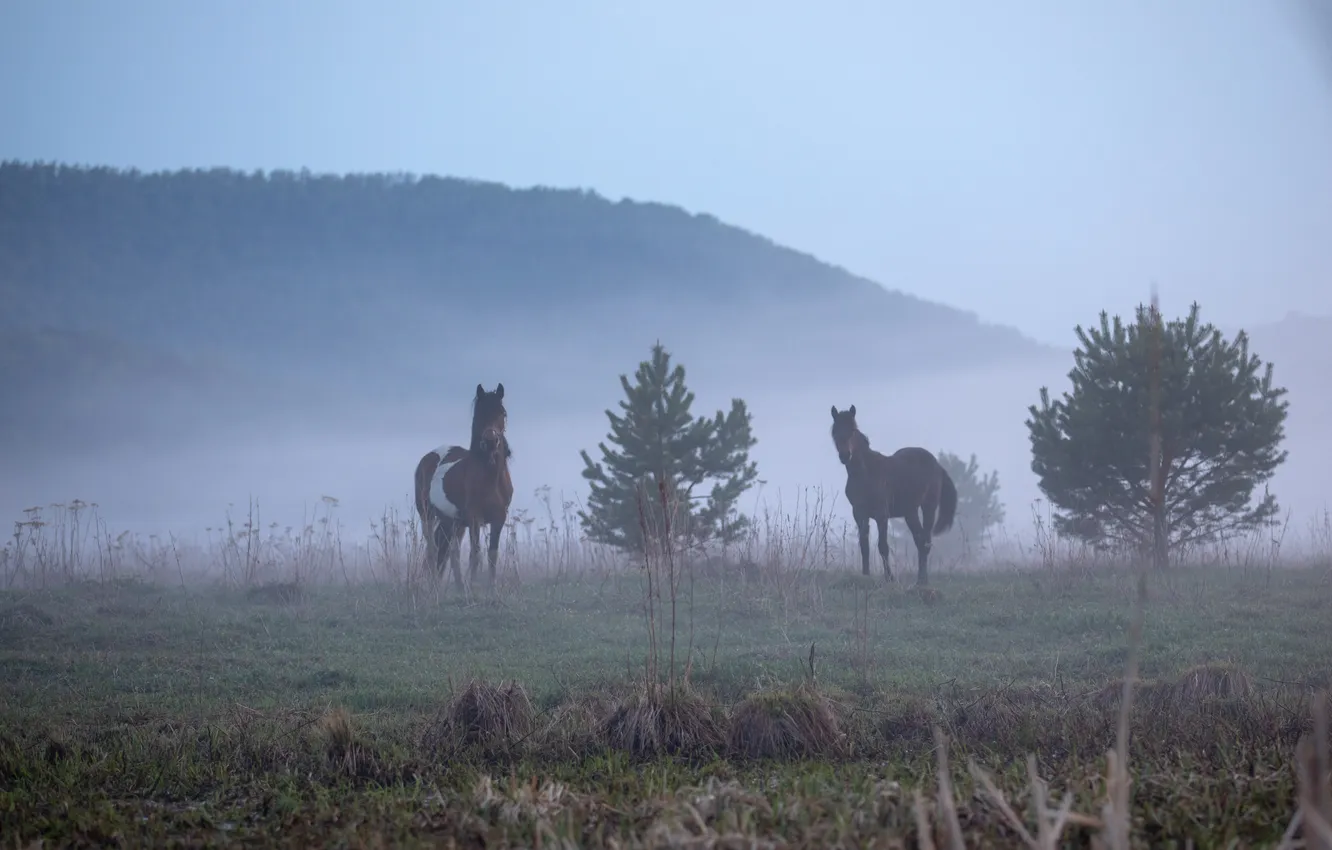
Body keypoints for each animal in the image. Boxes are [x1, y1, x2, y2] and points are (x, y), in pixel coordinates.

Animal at [414, 383, 514, 591]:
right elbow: (476, 553)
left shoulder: (499, 518)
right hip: (427, 514)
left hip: (454, 523)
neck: (490, 478)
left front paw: (491, 588)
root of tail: (428, 457)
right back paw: (436, 585)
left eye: (502, 412)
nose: (490, 441)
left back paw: (459, 587)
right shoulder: (475, 518)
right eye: (478, 413)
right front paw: (474, 586)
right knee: (433, 549)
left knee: (452, 552)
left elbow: (492, 555)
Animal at [829, 404, 957, 586]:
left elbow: (883, 546)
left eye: (853, 430)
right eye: (835, 431)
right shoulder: (859, 513)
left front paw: (889, 578)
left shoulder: (881, 514)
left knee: (926, 541)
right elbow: (864, 545)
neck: (865, 473)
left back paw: (922, 581)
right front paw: (865, 576)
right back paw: (920, 580)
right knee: (919, 541)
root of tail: (938, 465)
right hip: (910, 512)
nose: (845, 455)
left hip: (928, 507)